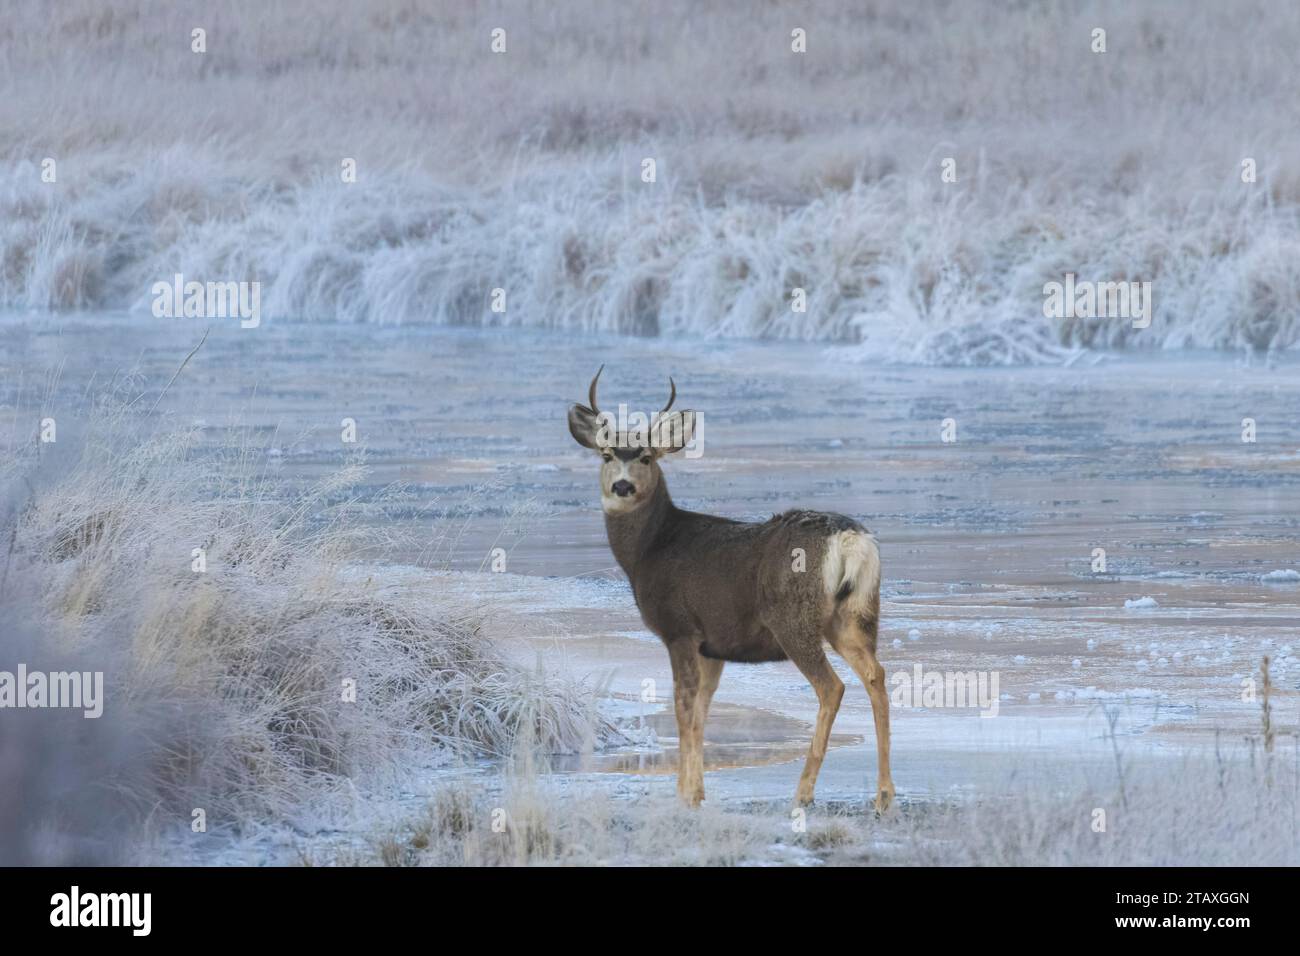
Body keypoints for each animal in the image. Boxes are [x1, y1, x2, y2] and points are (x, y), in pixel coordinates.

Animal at [569, 369, 894, 811]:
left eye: (646, 457)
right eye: (606, 456)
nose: (622, 487)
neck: (650, 548)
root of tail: (849, 539)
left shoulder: (680, 628)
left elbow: (683, 707)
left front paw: (685, 794)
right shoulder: (714, 645)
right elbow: (701, 710)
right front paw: (696, 790)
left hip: (792, 616)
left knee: (833, 686)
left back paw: (804, 792)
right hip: (855, 613)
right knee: (876, 676)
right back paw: (883, 794)